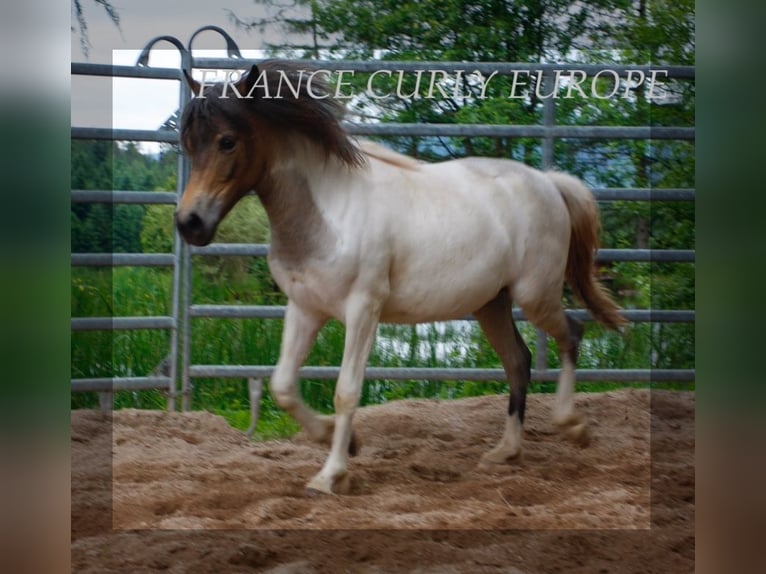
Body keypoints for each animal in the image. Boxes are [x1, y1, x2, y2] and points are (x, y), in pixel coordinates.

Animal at [177, 62, 628, 496]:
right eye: (188, 144)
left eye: (227, 141)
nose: (189, 224)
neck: (329, 213)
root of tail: (548, 181)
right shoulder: (305, 308)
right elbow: (283, 386)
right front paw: (343, 442)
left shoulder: (363, 309)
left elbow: (346, 391)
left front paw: (330, 476)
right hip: (491, 303)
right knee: (519, 361)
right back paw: (505, 452)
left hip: (534, 295)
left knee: (572, 333)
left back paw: (573, 426)